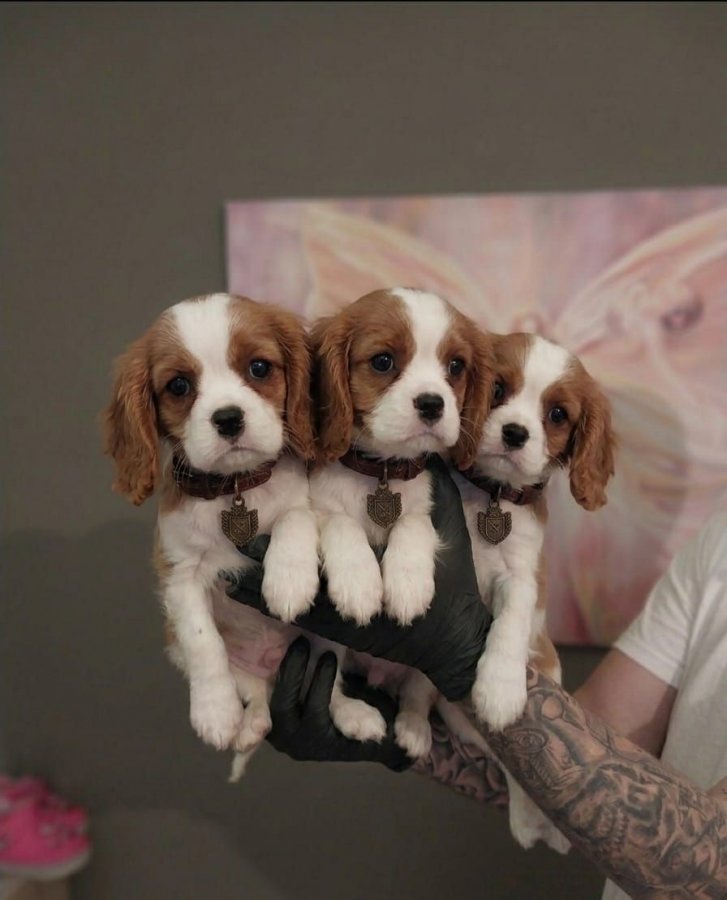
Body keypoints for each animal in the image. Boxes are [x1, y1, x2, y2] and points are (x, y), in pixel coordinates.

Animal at [309, 287, 493, 757]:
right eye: (383, 362)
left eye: (455, 367)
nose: (432, 403)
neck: (384, 471)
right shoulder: (320, 502)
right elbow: (340, 523)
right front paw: (359, 582)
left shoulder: (427, 506)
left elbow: (413, 525)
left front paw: (407, 585)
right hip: (328, 643)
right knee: (328, 679)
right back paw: (354, 716)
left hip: (425, 671)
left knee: (417, 694)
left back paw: (413, 728)